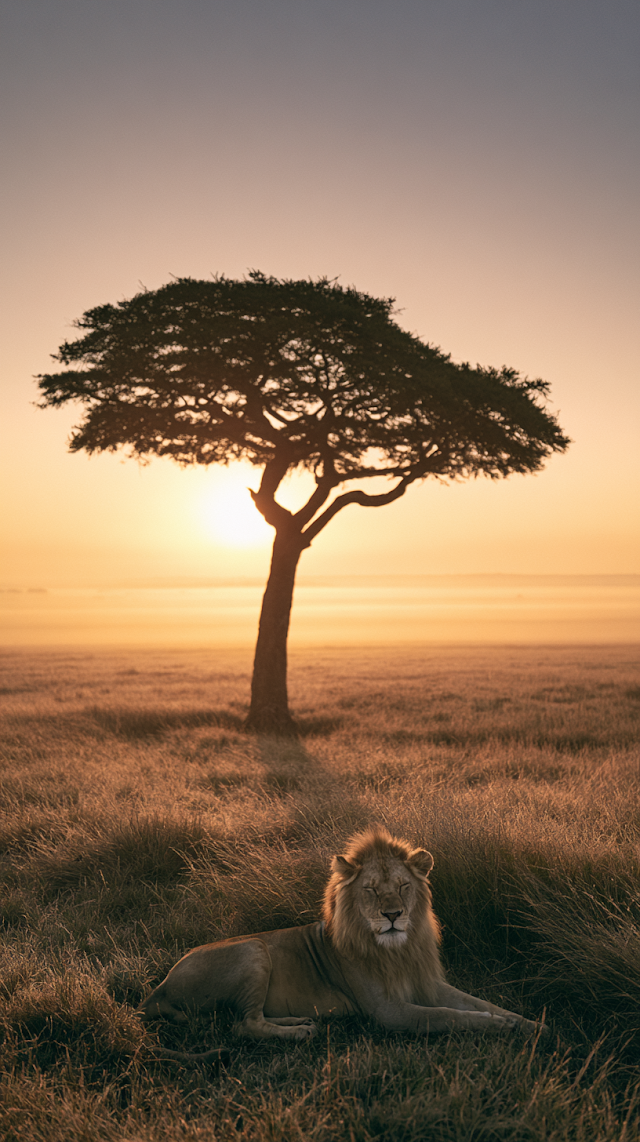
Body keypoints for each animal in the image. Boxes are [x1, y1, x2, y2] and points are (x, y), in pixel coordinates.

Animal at [138, 828, 541, 1049]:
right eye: (371, 890)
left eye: (403, 886)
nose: (393, 915)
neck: (398, 951)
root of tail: (158, 988)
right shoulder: (387, 1011)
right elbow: (447, 1016)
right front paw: (499, 1027)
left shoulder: (428, 984)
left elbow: (477, 1003)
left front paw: (531, 1025)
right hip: (254, 950)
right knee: (243, 1024)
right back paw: (300, 1033)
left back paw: (301, 1021)